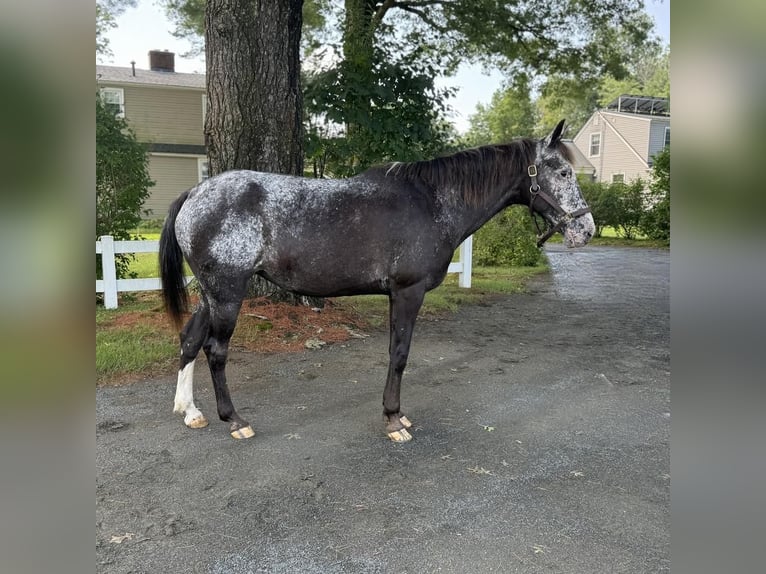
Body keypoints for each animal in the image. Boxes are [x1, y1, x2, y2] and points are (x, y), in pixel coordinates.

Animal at [160, 120, 592, 446]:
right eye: (564, 172)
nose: (586, 229)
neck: (432, 203)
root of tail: (195, 193)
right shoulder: (407, 292)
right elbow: (399, 354)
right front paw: (394, 419)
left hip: (211, 295)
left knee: (190, 340)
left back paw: (190, 411)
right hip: (228, 293)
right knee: (215, 351)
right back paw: (234, 420)